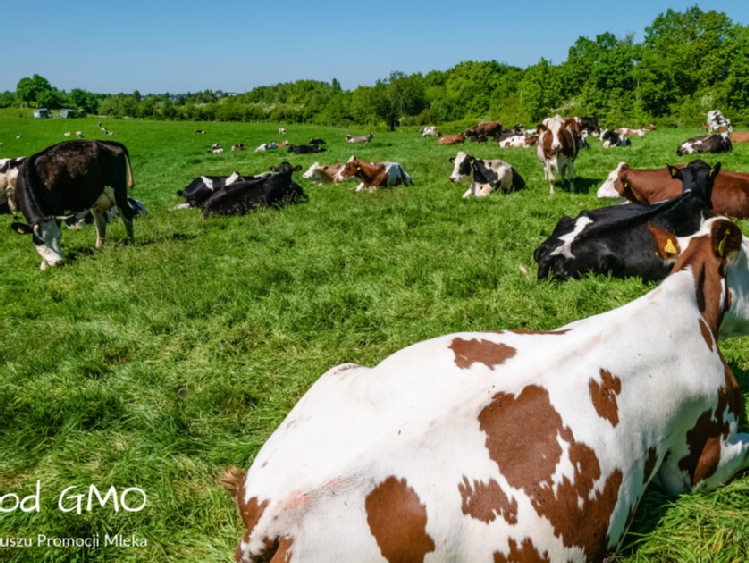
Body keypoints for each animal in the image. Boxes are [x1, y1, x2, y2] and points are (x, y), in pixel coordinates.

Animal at [10, 140, 137, 270]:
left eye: (59, 236)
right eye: (40, 240)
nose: (59, 262)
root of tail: (108, 143)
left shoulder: (57, 209)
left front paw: (44, 266)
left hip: (119, 192)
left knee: (126, 215)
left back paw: (131, 241)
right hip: (96, 200)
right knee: (100, 223)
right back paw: (98, 247)